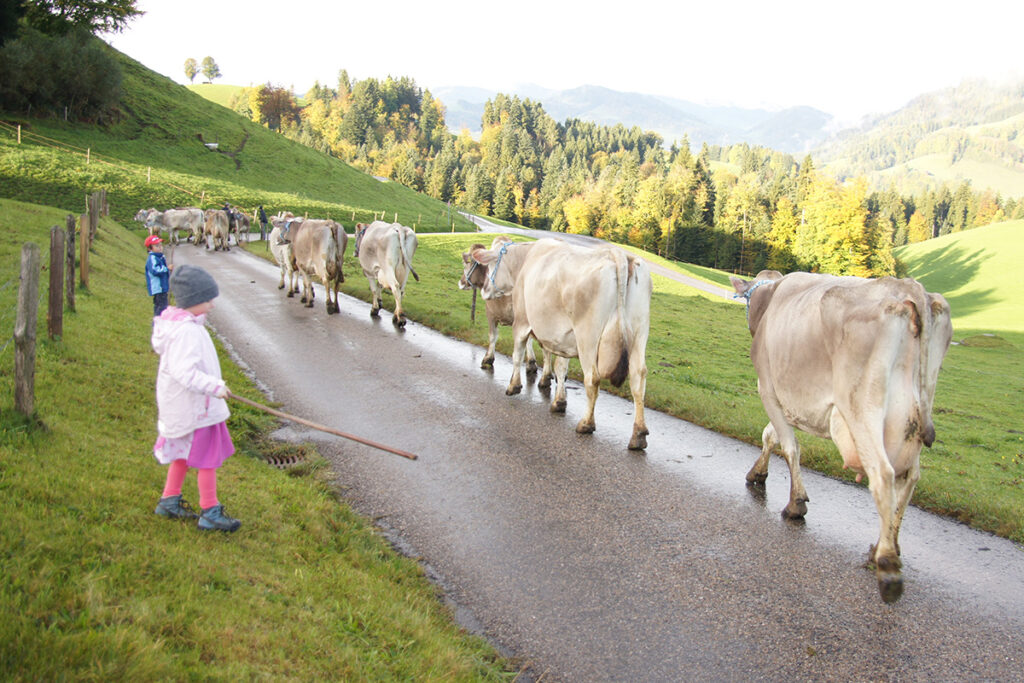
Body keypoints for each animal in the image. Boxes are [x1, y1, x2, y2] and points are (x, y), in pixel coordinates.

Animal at [459, 237, 552, 385]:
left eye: (466, 264)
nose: (461, 282)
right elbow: (528, 341)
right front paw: (531, 363)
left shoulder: (491, 313)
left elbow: (493, 336)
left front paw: (488, 359)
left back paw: (546, 378)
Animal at [471, 238, 652, 451]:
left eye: (491, 264)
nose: (484, 289)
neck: (526, 260)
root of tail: (619, 254)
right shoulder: (563, 337)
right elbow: (560, 367)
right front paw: (559, 402)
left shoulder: (522, 321)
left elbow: (517, 355)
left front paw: (513, 386)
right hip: (640, 333)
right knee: (638, 378)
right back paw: (639, 434)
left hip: (588, 336)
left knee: (593, 378)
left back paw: (586, 423)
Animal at [730, 270, 952, 603]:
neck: (772, 297)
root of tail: (909, 287)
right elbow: (771, 436)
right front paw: (758, 472)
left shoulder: (768, 388)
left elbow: (789, 445)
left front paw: (796, 503)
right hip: (911, 420)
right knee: (909, 477)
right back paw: (887, 543)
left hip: (862, 408)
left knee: (884, 475)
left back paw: (887, 564)